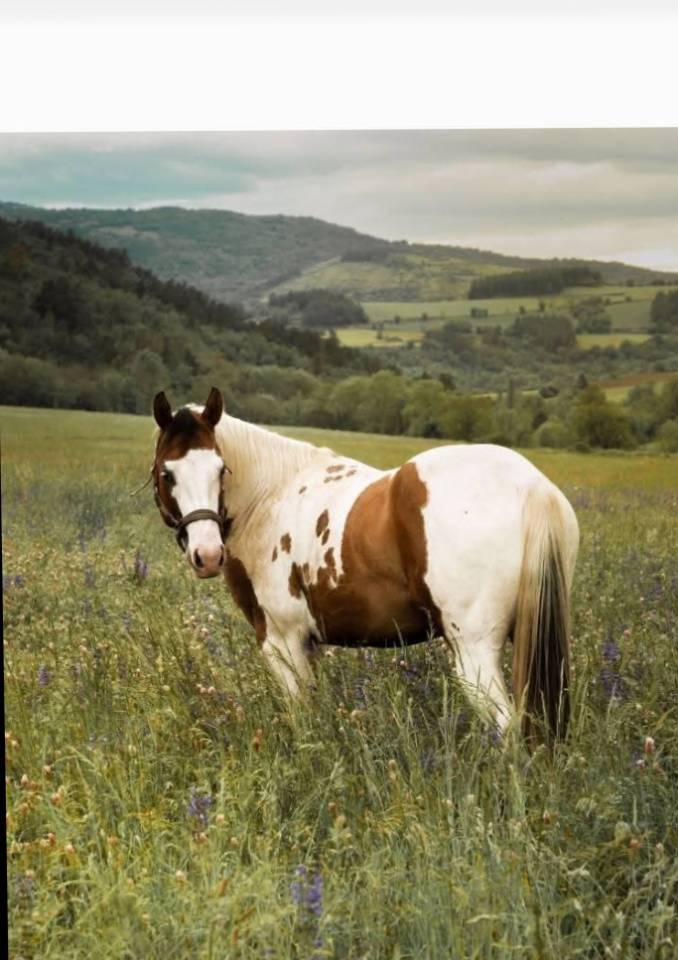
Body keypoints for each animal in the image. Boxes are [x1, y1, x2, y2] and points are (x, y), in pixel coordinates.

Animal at [150, 387, 579, 740]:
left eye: (220, 470)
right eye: (167, 472)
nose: (207, 555)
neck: (270, 496)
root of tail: (531, 486)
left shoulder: (282, 642)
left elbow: (302, 718)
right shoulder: (307, 645)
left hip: (474, 652)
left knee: (507, 728)